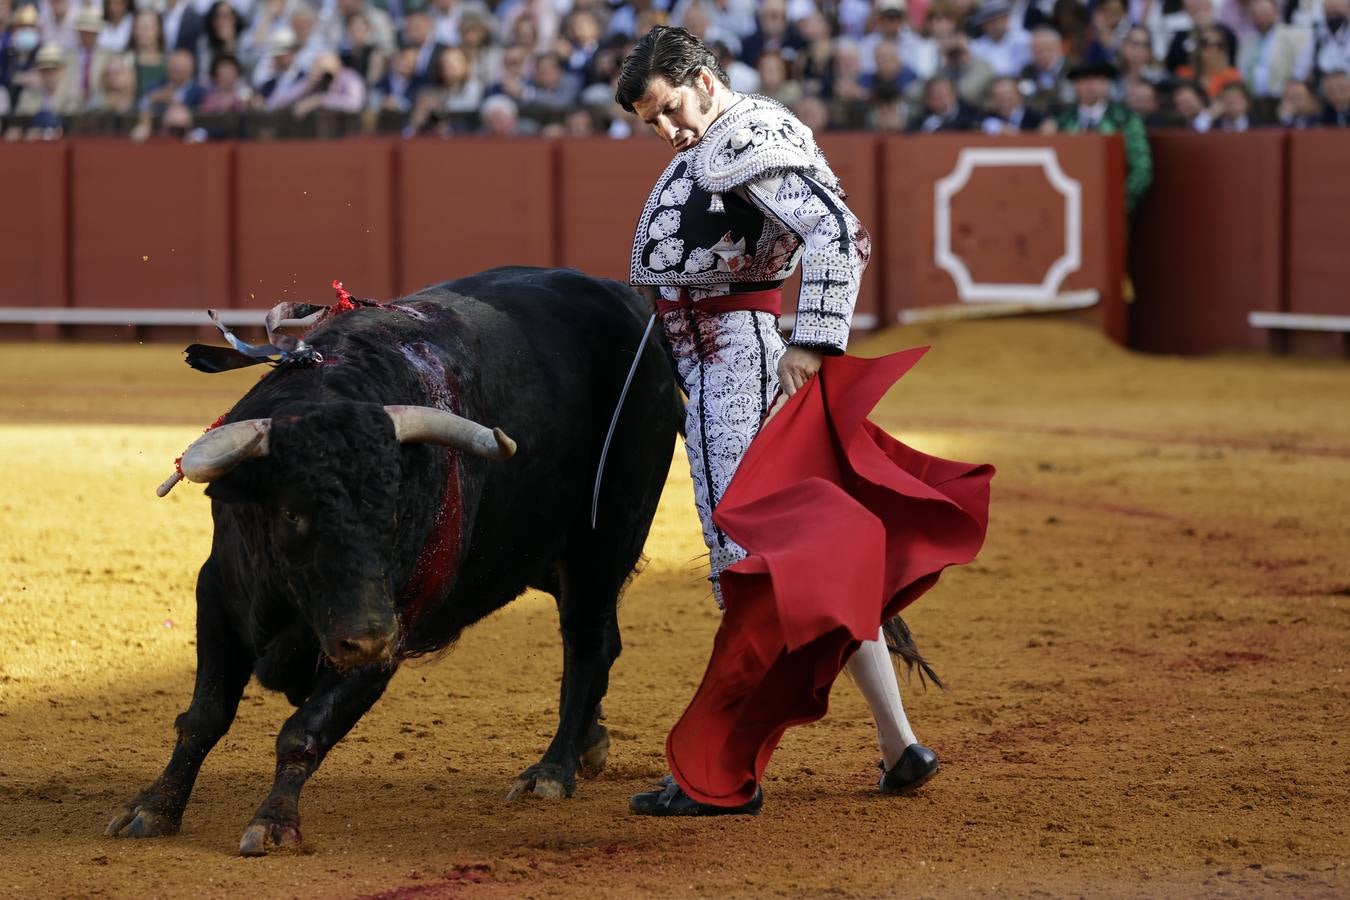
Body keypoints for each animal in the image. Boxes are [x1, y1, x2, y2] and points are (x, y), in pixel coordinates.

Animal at [105, 267, 680, 858]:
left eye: (395, 508)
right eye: (292, 513)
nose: (368, 637)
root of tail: (629, 303)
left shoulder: (393, 626)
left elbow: (303, 729)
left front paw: (273, 822)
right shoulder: (218, 593)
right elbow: (205, 716)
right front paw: (153, 808)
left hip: (603, 542)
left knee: (587, 644)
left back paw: (551, 770)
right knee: (602, 641)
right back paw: (589, 743)